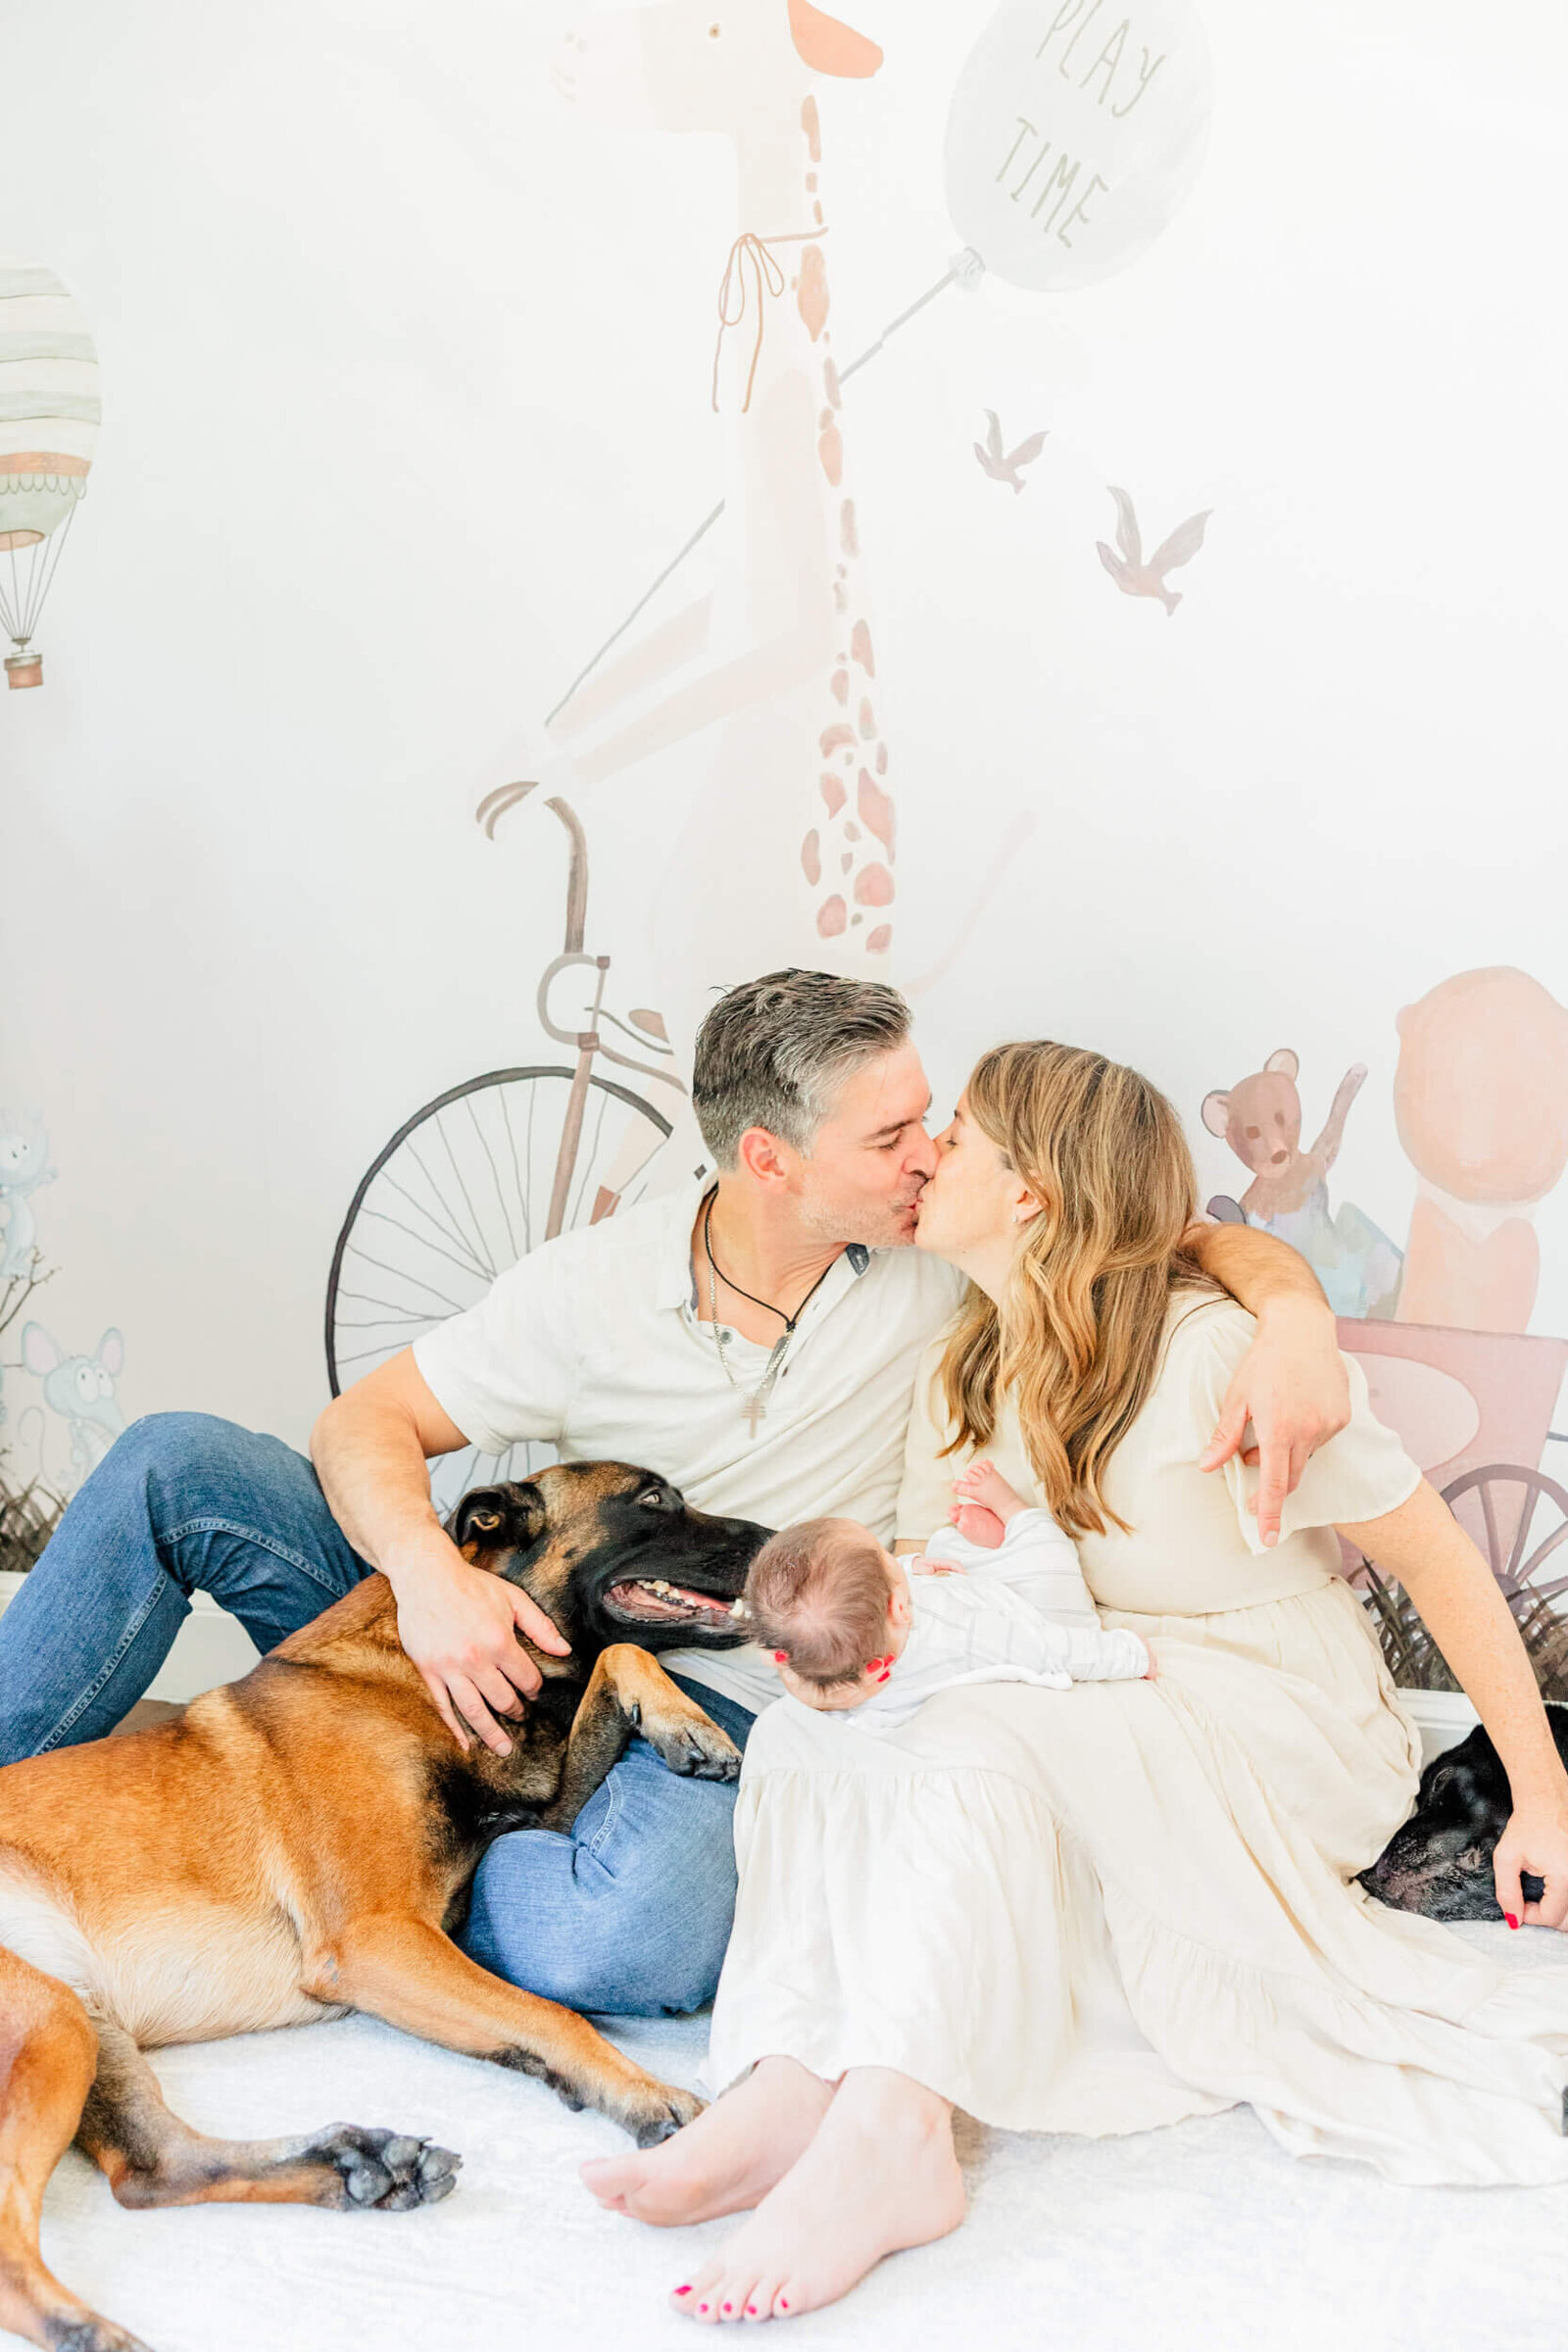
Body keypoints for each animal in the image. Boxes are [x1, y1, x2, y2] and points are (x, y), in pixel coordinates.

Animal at [0, 1458, 766, 2342]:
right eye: (651, 1499)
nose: (783, 1541)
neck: (417, 1672)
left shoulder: (537, 1818)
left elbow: (619, 1658)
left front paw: (682, 1720)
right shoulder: (375, 1939)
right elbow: (553, 2016)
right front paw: (642, 2092)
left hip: (80, 2020)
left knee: (152, 2170)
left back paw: (356, 2167)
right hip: (48, 2022)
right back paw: (88, 2329)